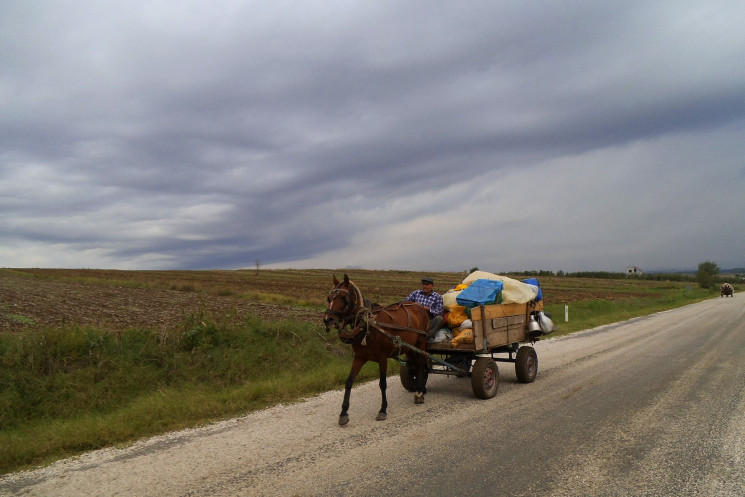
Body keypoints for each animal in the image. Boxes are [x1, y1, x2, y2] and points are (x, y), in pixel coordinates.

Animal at [322, 274, 430, 424]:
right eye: (329, 297)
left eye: (343, 298)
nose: (328, 320)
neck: (368, 324)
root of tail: (420, 307)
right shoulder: (360, 356)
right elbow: (349, 381)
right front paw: (343, 413)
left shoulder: (382, 358)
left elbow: (382, 383)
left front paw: (383, 410)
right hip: (409, 348)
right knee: (414, 364)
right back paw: (420, 388)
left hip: (421, 343)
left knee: (421, 364)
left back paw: (419, 393)